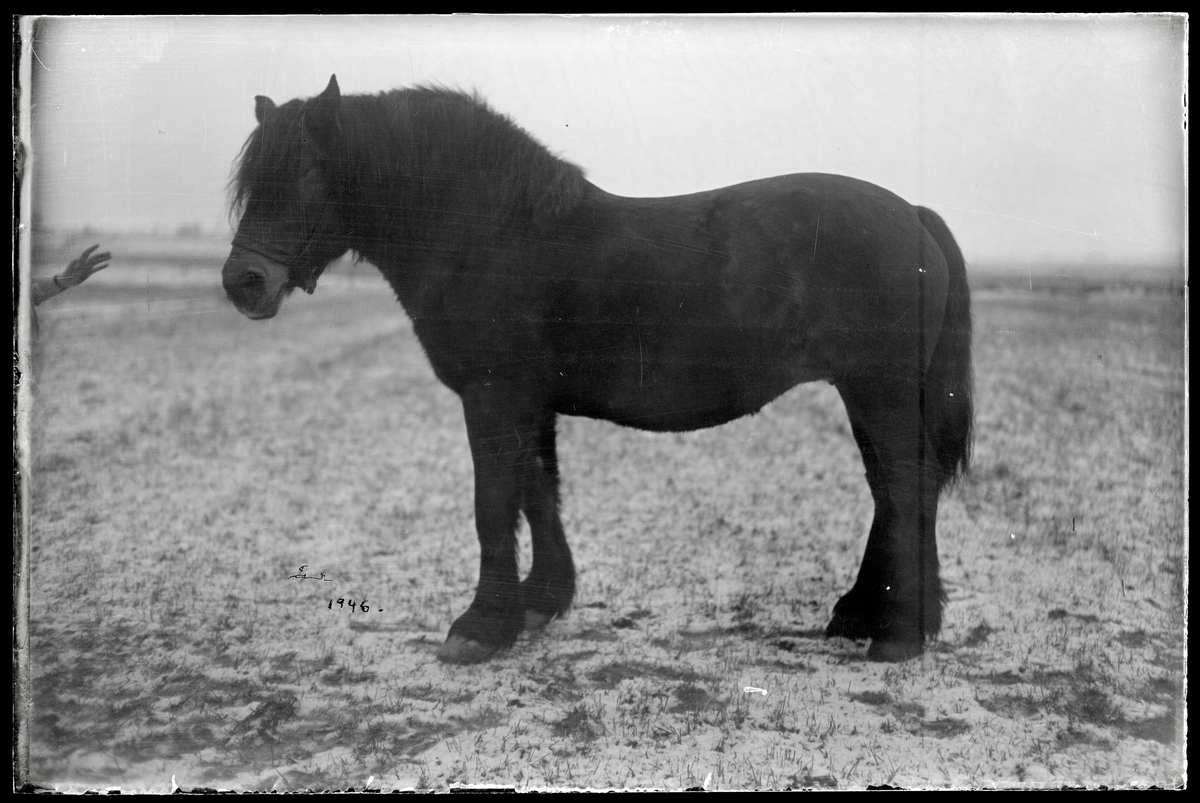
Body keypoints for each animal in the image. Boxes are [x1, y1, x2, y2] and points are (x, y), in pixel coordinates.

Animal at [222, 75, 973, 664]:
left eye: (305, 174)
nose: (243, 283)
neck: (491, 234)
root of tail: (913, 215)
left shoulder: (491, 396)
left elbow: (492, 504)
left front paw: (480, 628)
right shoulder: (526, 401)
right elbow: (536, 492)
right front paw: (539, 603)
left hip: (878, 390)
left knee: (905, 488)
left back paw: (899, 635)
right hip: (865, 392)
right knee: (896, 490)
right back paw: (868, 615)